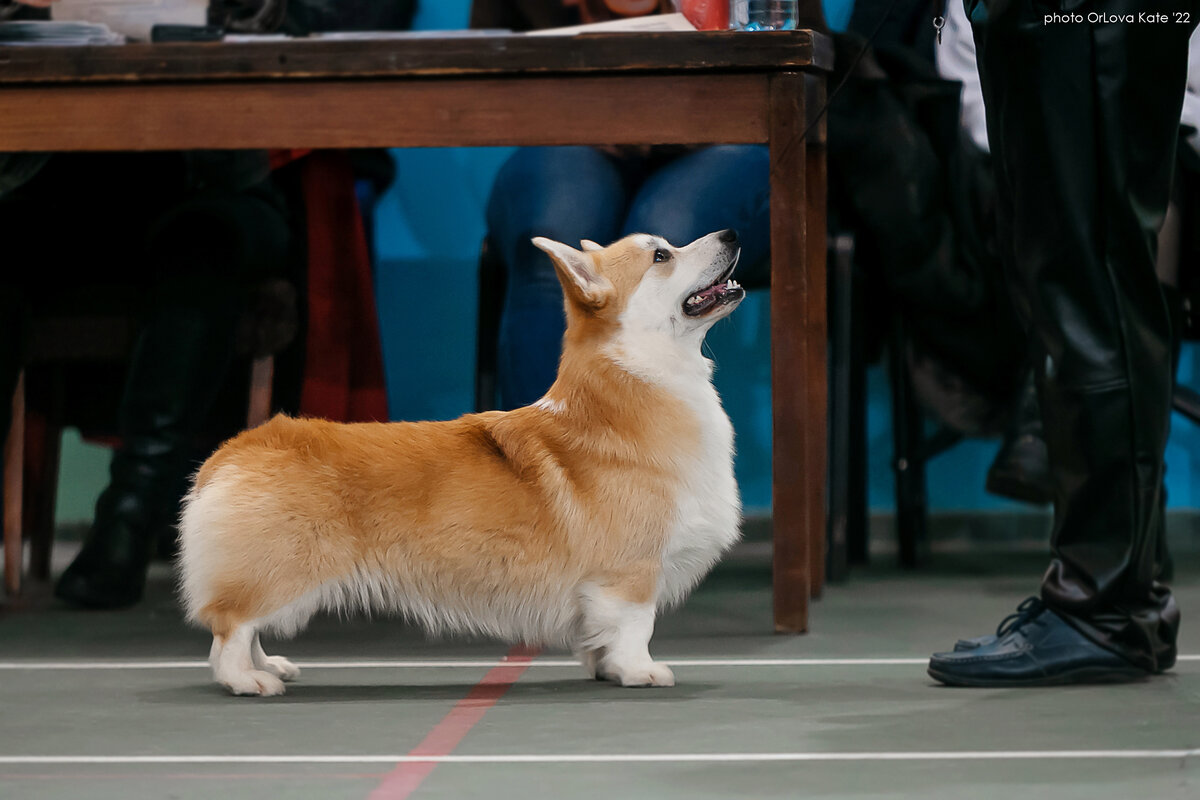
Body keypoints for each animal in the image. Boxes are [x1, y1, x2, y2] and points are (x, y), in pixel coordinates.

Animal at [178, 226, 744, 695]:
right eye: (662, 255)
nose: (732, 232)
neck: (640, 381)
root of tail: (239, 447)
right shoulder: (630, 572)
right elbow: (635, 627)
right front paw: (638, 672)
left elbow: (600, 636)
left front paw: (605, 669)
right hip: (283, 568)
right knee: (230, 628)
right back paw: (247, 681)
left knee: (245, 628)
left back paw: (268, 665)